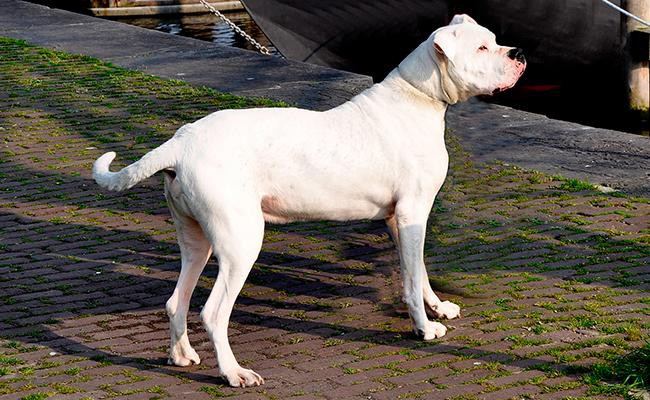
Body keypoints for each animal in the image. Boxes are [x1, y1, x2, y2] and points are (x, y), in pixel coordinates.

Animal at [91, 15, 524, 388]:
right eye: (483, 47)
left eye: (495, 40)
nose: (518, 53)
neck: (419, 96)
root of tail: (180, 144)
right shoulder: (413, 212)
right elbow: (414, 276)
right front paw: (424, 328)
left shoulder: (400, 220)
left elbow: (417, 272)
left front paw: (437, 308)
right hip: (241, 242)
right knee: (213, 313)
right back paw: (234, 373)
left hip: (197, 240)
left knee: (175, 300)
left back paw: (181, 355)